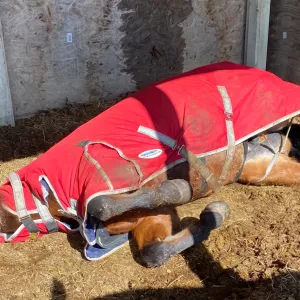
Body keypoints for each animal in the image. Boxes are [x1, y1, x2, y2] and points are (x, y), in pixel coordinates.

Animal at [0, 61, 300, 268]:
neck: (52, 191)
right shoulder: (152, 216)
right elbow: (154, 250)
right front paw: (210, 217)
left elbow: (104, 204)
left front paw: (182, 190)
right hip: (263, 166)